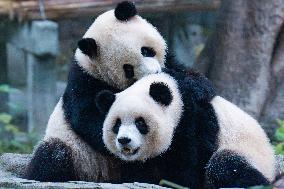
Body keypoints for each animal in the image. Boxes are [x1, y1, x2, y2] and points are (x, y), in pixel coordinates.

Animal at [24, 0, 168, 182]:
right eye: (128, 69)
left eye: (146, 50)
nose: (154, 74)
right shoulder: (84, 81)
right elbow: (90, 118)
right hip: (77, 154)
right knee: (52, 156)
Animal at [95, 68, 276, 189]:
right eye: (117, 124)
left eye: (140, 123)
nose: (124, 140)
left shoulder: (193, 121)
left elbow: (189, 164)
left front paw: (176, 182)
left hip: (252, 156)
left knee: (225, 165)